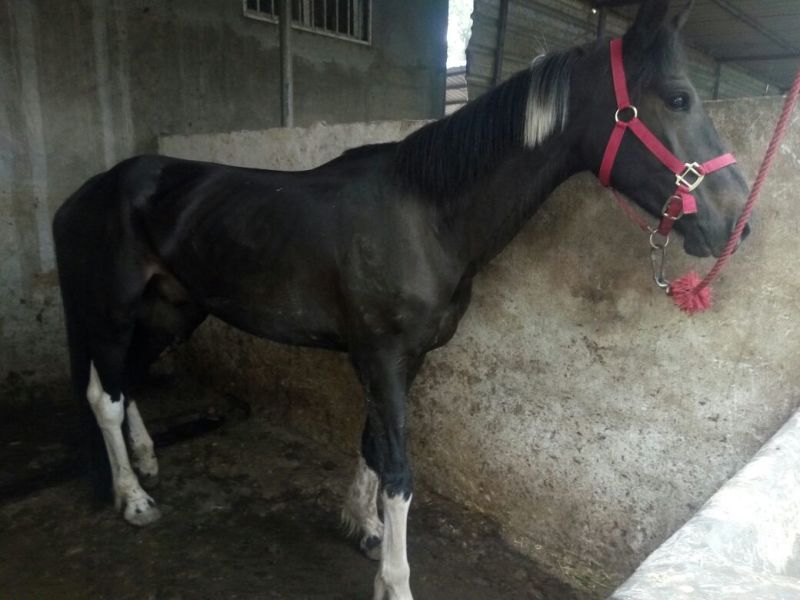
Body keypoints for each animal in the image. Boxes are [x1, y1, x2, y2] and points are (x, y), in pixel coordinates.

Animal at [53, 1, 750, 598]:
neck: (427, 215)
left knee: (127, 382)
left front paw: (362, 528)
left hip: (172, 311)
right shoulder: (382, 357)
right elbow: (399, 473)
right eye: (679, 98)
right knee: (102, 396)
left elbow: (372, 449)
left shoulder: (406, 359)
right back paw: (133, 500)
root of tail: (83, 195)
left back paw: (146, 463)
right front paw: (395, 581)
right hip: (112, 312)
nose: (736, 222)